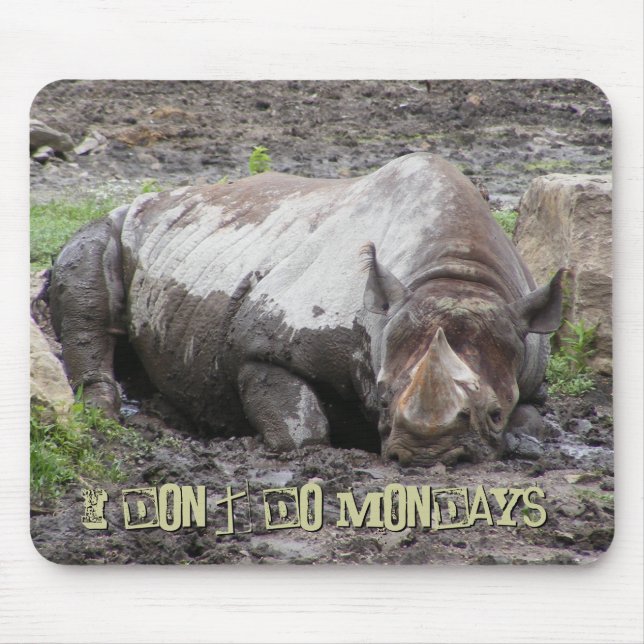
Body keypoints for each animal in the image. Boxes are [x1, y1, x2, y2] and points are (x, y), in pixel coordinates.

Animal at [49, 153, 564, 466]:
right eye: (381, 400)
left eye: (494, 413)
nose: (428, 456)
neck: (455, 274)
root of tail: (150, 198)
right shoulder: (259, 346)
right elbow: (303, 430)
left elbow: (537, 421)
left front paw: (523, 441)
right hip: (115, 222)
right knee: (89, 286)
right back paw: (104, 415)